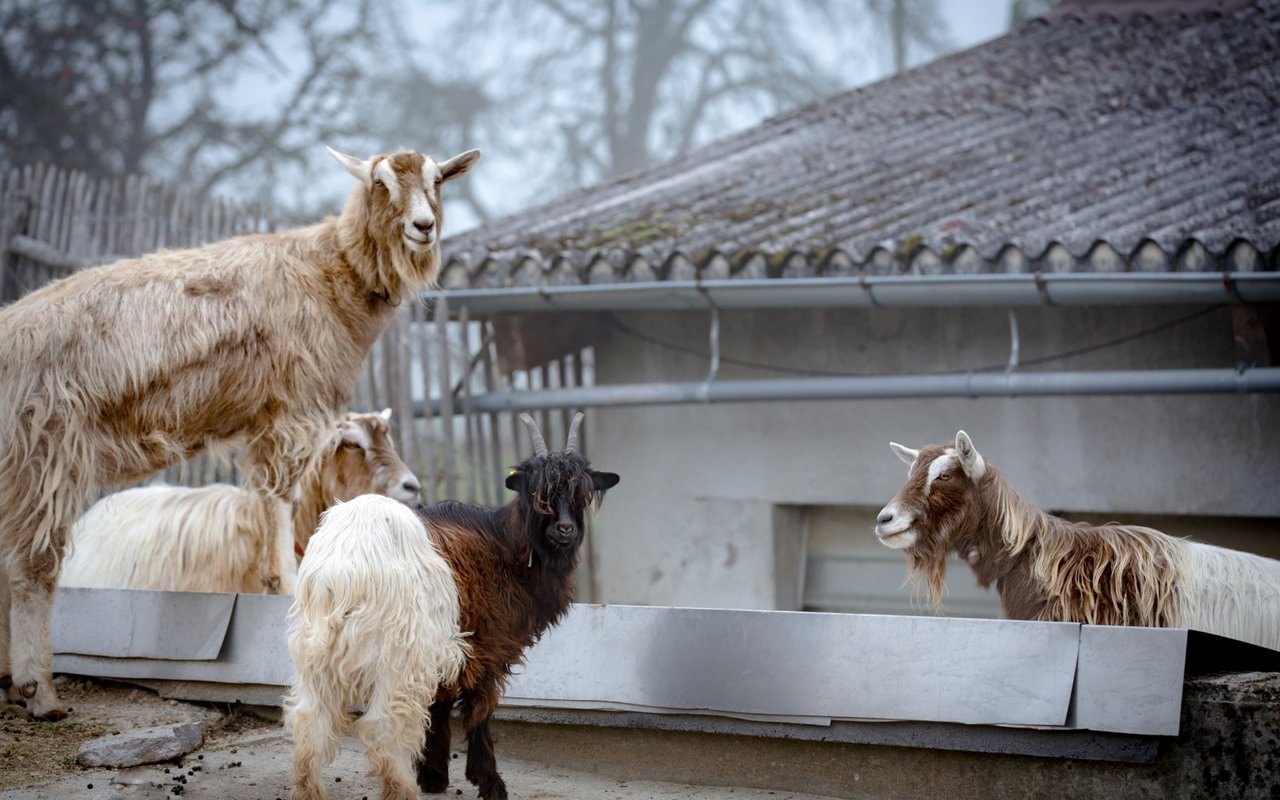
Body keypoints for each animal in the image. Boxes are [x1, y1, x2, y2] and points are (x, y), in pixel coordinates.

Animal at [285, 494, 471, 798]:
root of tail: (341, 575)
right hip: (397, 661)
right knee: (383, 727)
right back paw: (401, 788)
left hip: (314, 660)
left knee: (309, 722)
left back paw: (308, 790)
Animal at [414, 412, 619, 798]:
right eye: (537, 493)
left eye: (582, 494)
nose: (565, 530)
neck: (505, 547)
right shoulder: (486, 641)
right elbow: (479, 705)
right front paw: (490, 782)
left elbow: (442, 700)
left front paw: (433, 776)